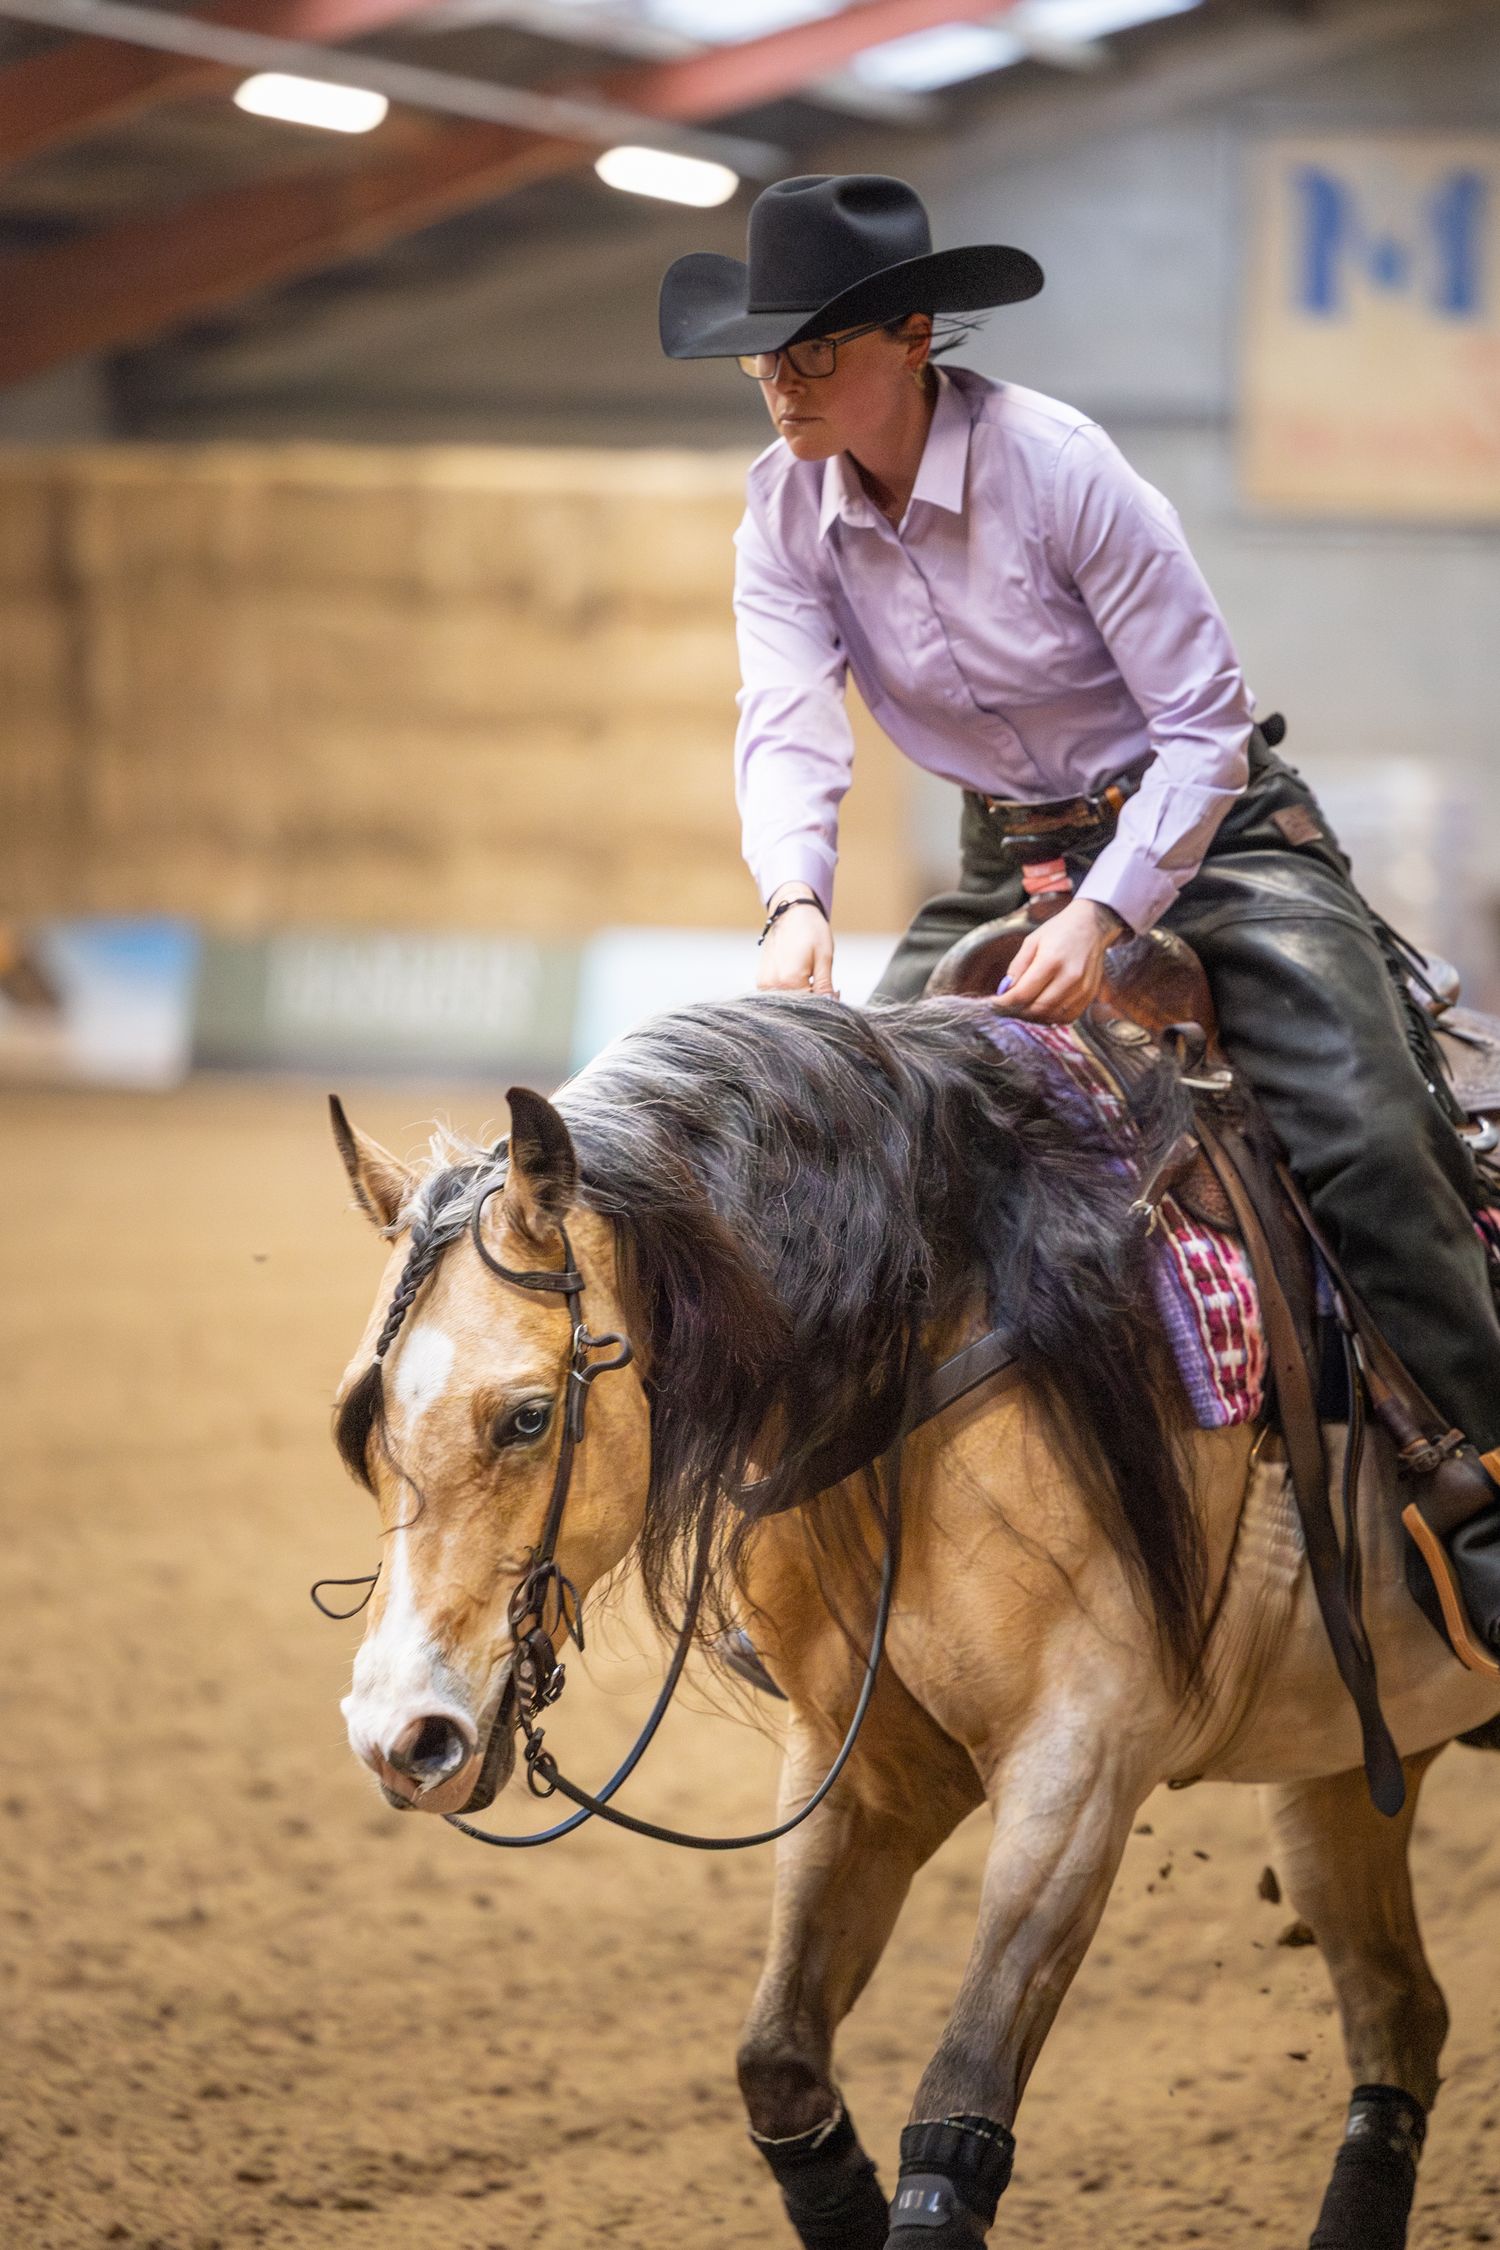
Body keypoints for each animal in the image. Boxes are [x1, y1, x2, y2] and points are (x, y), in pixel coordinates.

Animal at [326, 991, 1500, 2249]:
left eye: (529, 1416)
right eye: (366, 1422)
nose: (398, 1736)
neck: (929, 1348)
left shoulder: (1079, 1766)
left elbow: (956, 2108)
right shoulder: (869, 1769)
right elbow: (779, 2066)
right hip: (1342, 1773)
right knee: (1399, 2016)